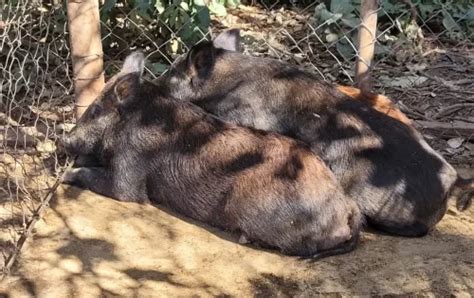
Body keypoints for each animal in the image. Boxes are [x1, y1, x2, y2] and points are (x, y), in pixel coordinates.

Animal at [61, 51, 362, 258]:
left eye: (95, 110)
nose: (65, 140)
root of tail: (345, 205)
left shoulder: (131, 169)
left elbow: (120, 188)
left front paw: (66, 175)